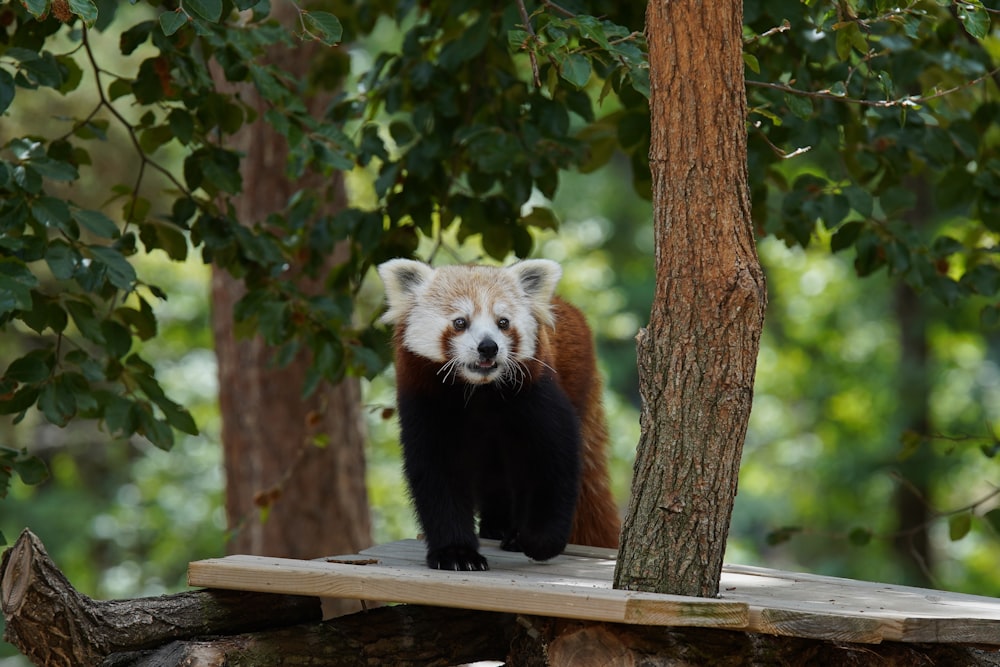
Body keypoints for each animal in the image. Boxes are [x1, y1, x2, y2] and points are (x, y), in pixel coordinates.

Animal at [378, 258, 620, 572]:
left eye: (503, 322)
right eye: (460, 322)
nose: (488, 347)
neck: (478, 391)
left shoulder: (535, 394)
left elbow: (553, 462)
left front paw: (537, 540)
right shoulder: (426, 403)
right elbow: (437, 475)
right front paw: (456, 553)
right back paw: (496, 525)